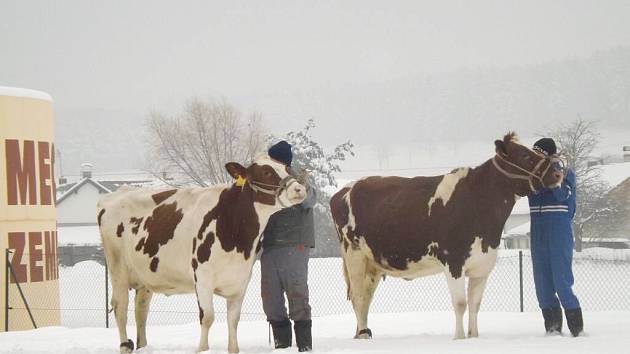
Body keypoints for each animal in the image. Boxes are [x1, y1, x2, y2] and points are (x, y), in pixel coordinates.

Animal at [97, 156, 308, 354]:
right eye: (266, 172)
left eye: (287, 168)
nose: (299, 189)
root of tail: (113, 196)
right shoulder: (203, 277)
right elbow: (207, 317)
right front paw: (203, 349)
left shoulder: (240, 280)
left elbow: (233, 319)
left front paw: (233, 349)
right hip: (117, 268)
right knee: (120, 307)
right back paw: (125, 346)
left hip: (146, 275)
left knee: (141, 308)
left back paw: (143, 346)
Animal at [334, 133, 564, 340]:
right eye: (525, 155)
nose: (557, 174)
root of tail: (346, 189)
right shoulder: (454, 261)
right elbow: (460, 304)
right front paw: (459, 338)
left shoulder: (482, 265)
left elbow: (475, 304)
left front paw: (474, 336)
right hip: (354, 255)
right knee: (359, 297)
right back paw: (363, 335)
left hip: (373, 264)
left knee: (366, 298)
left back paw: (362, 333)